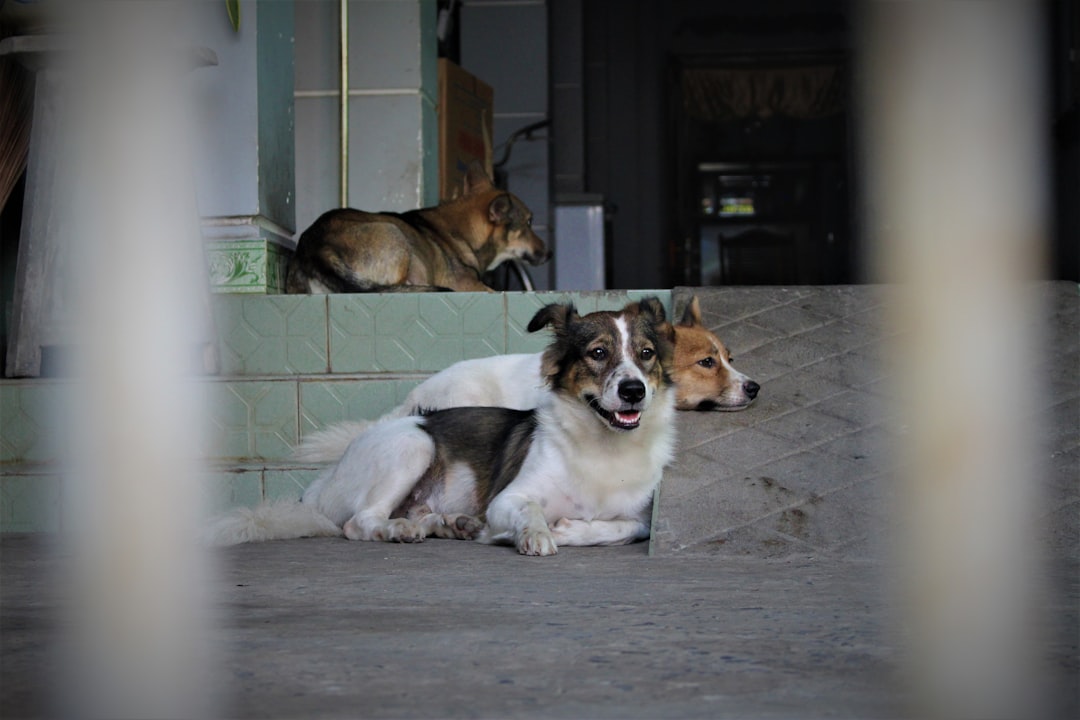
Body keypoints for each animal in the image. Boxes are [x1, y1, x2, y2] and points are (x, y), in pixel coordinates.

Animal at [203, 297, 673, 557]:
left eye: (646, 353)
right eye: (598, 353)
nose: (634, 391)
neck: (603, 447)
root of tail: (321, 484)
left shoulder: (640, 516)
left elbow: (628, 528)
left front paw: (572, 529)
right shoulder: (506, 499)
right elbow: (533, 512)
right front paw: (536, 534)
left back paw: (451, 524)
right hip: (413, 444)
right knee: (359, 522)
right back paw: (398, 530)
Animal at [287, 162, 548, 293]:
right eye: (529, 222)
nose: (550, 253)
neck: (463, 234)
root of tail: (315, 248)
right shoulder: (469, 285)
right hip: (394, 233)